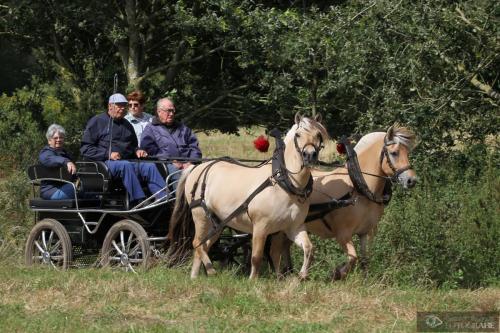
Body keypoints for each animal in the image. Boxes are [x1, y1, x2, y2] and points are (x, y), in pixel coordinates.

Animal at [270, 123, 418, 278]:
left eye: (407, 153)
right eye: (394, 153)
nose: (411, 180)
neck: (357, 186)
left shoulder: (366, 232)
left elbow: (365, 260)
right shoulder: (343, 234)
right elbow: (353, 258)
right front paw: (337, 273)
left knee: (284, 248)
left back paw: (289, 271)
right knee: (275, 252)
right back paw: (280, 277)